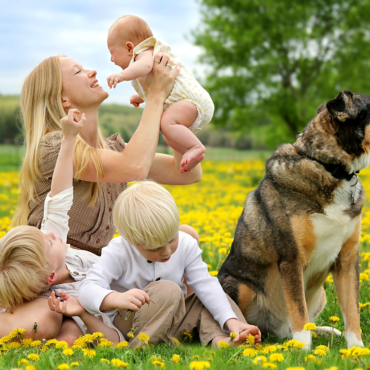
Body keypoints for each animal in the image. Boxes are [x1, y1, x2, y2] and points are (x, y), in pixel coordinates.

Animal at [218, 91, 368, 348]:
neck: (328, 168)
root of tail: (273, 330)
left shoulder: (347, 259)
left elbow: (351, 311)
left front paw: (356, 350)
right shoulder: (291, 259)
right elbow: (298, 310)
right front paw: (303, 350)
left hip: (321, 295)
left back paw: (325, 331)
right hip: (240, 286)